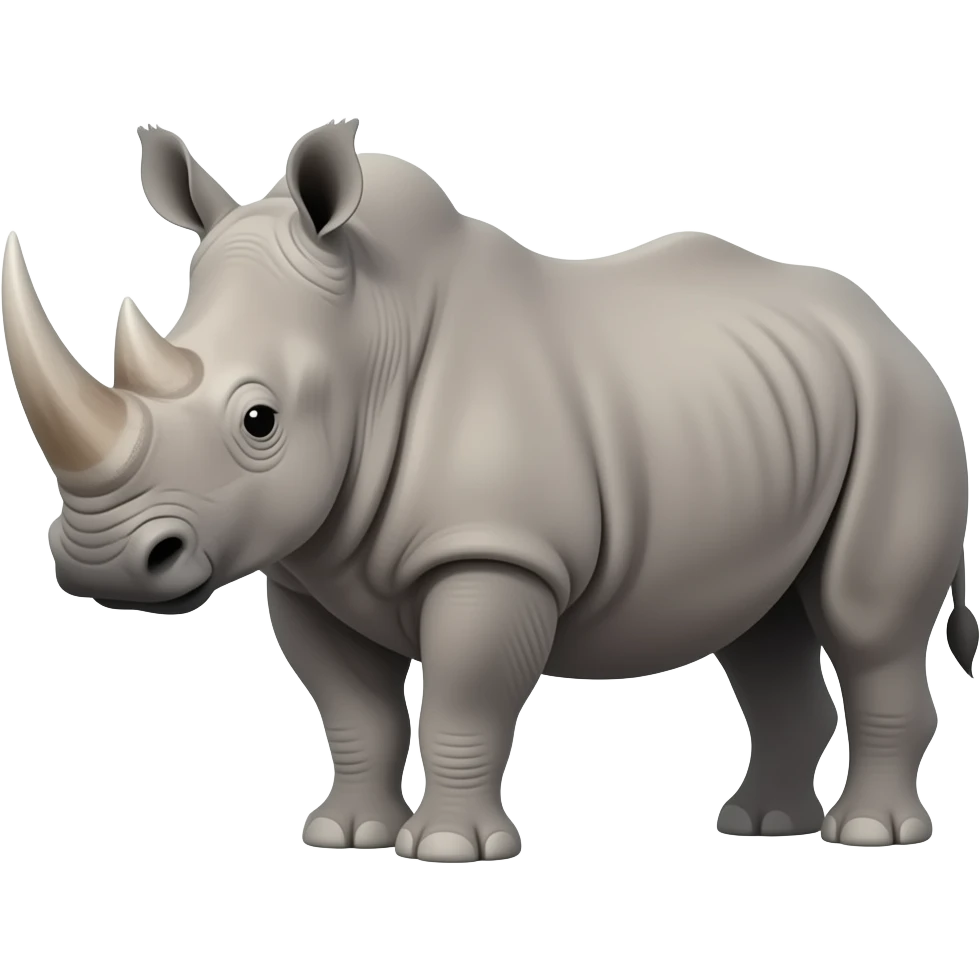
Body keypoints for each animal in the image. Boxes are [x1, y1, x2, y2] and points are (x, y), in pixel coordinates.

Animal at [2, 119, 976, 860]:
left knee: (864, 619)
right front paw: (345, 836)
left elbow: (462, 700)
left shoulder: (497, 553)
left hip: (902, 412)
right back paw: (760, 826)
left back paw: (869, 836)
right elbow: (353, 710)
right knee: (762, 627)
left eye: (259, 421)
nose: (99, 564)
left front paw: (446, 850)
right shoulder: (308, 565)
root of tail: (898, 333)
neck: (369, 333)